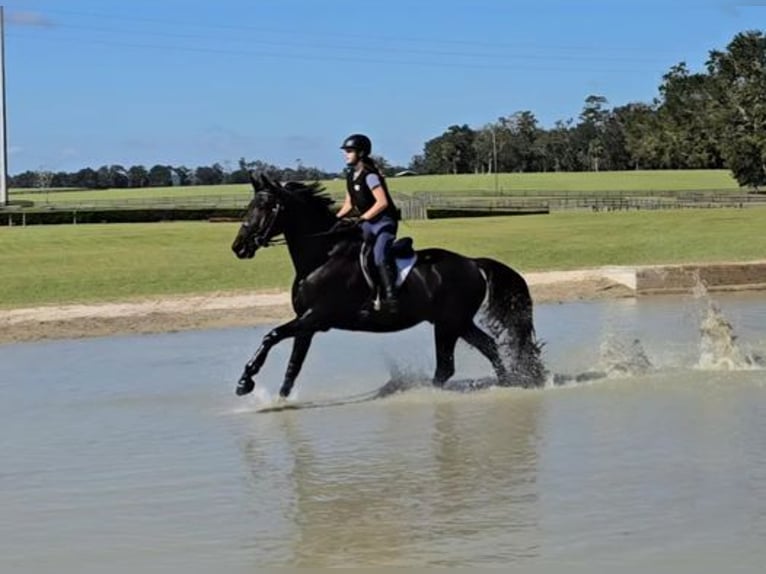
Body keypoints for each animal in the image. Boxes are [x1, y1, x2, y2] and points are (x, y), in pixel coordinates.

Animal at [228, 174, 544, 400]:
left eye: (265, 207)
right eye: (250, 206)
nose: (239, 247)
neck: (322, 256)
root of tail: (473, 263)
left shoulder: (316, 317)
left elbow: (271, 336)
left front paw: (245, 382)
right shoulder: (307, 324)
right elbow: (293, 365)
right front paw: (279, 401)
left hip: (448, 323)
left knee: (448, 365)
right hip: (456, 322)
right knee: (486, 348)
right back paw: (508, 383)